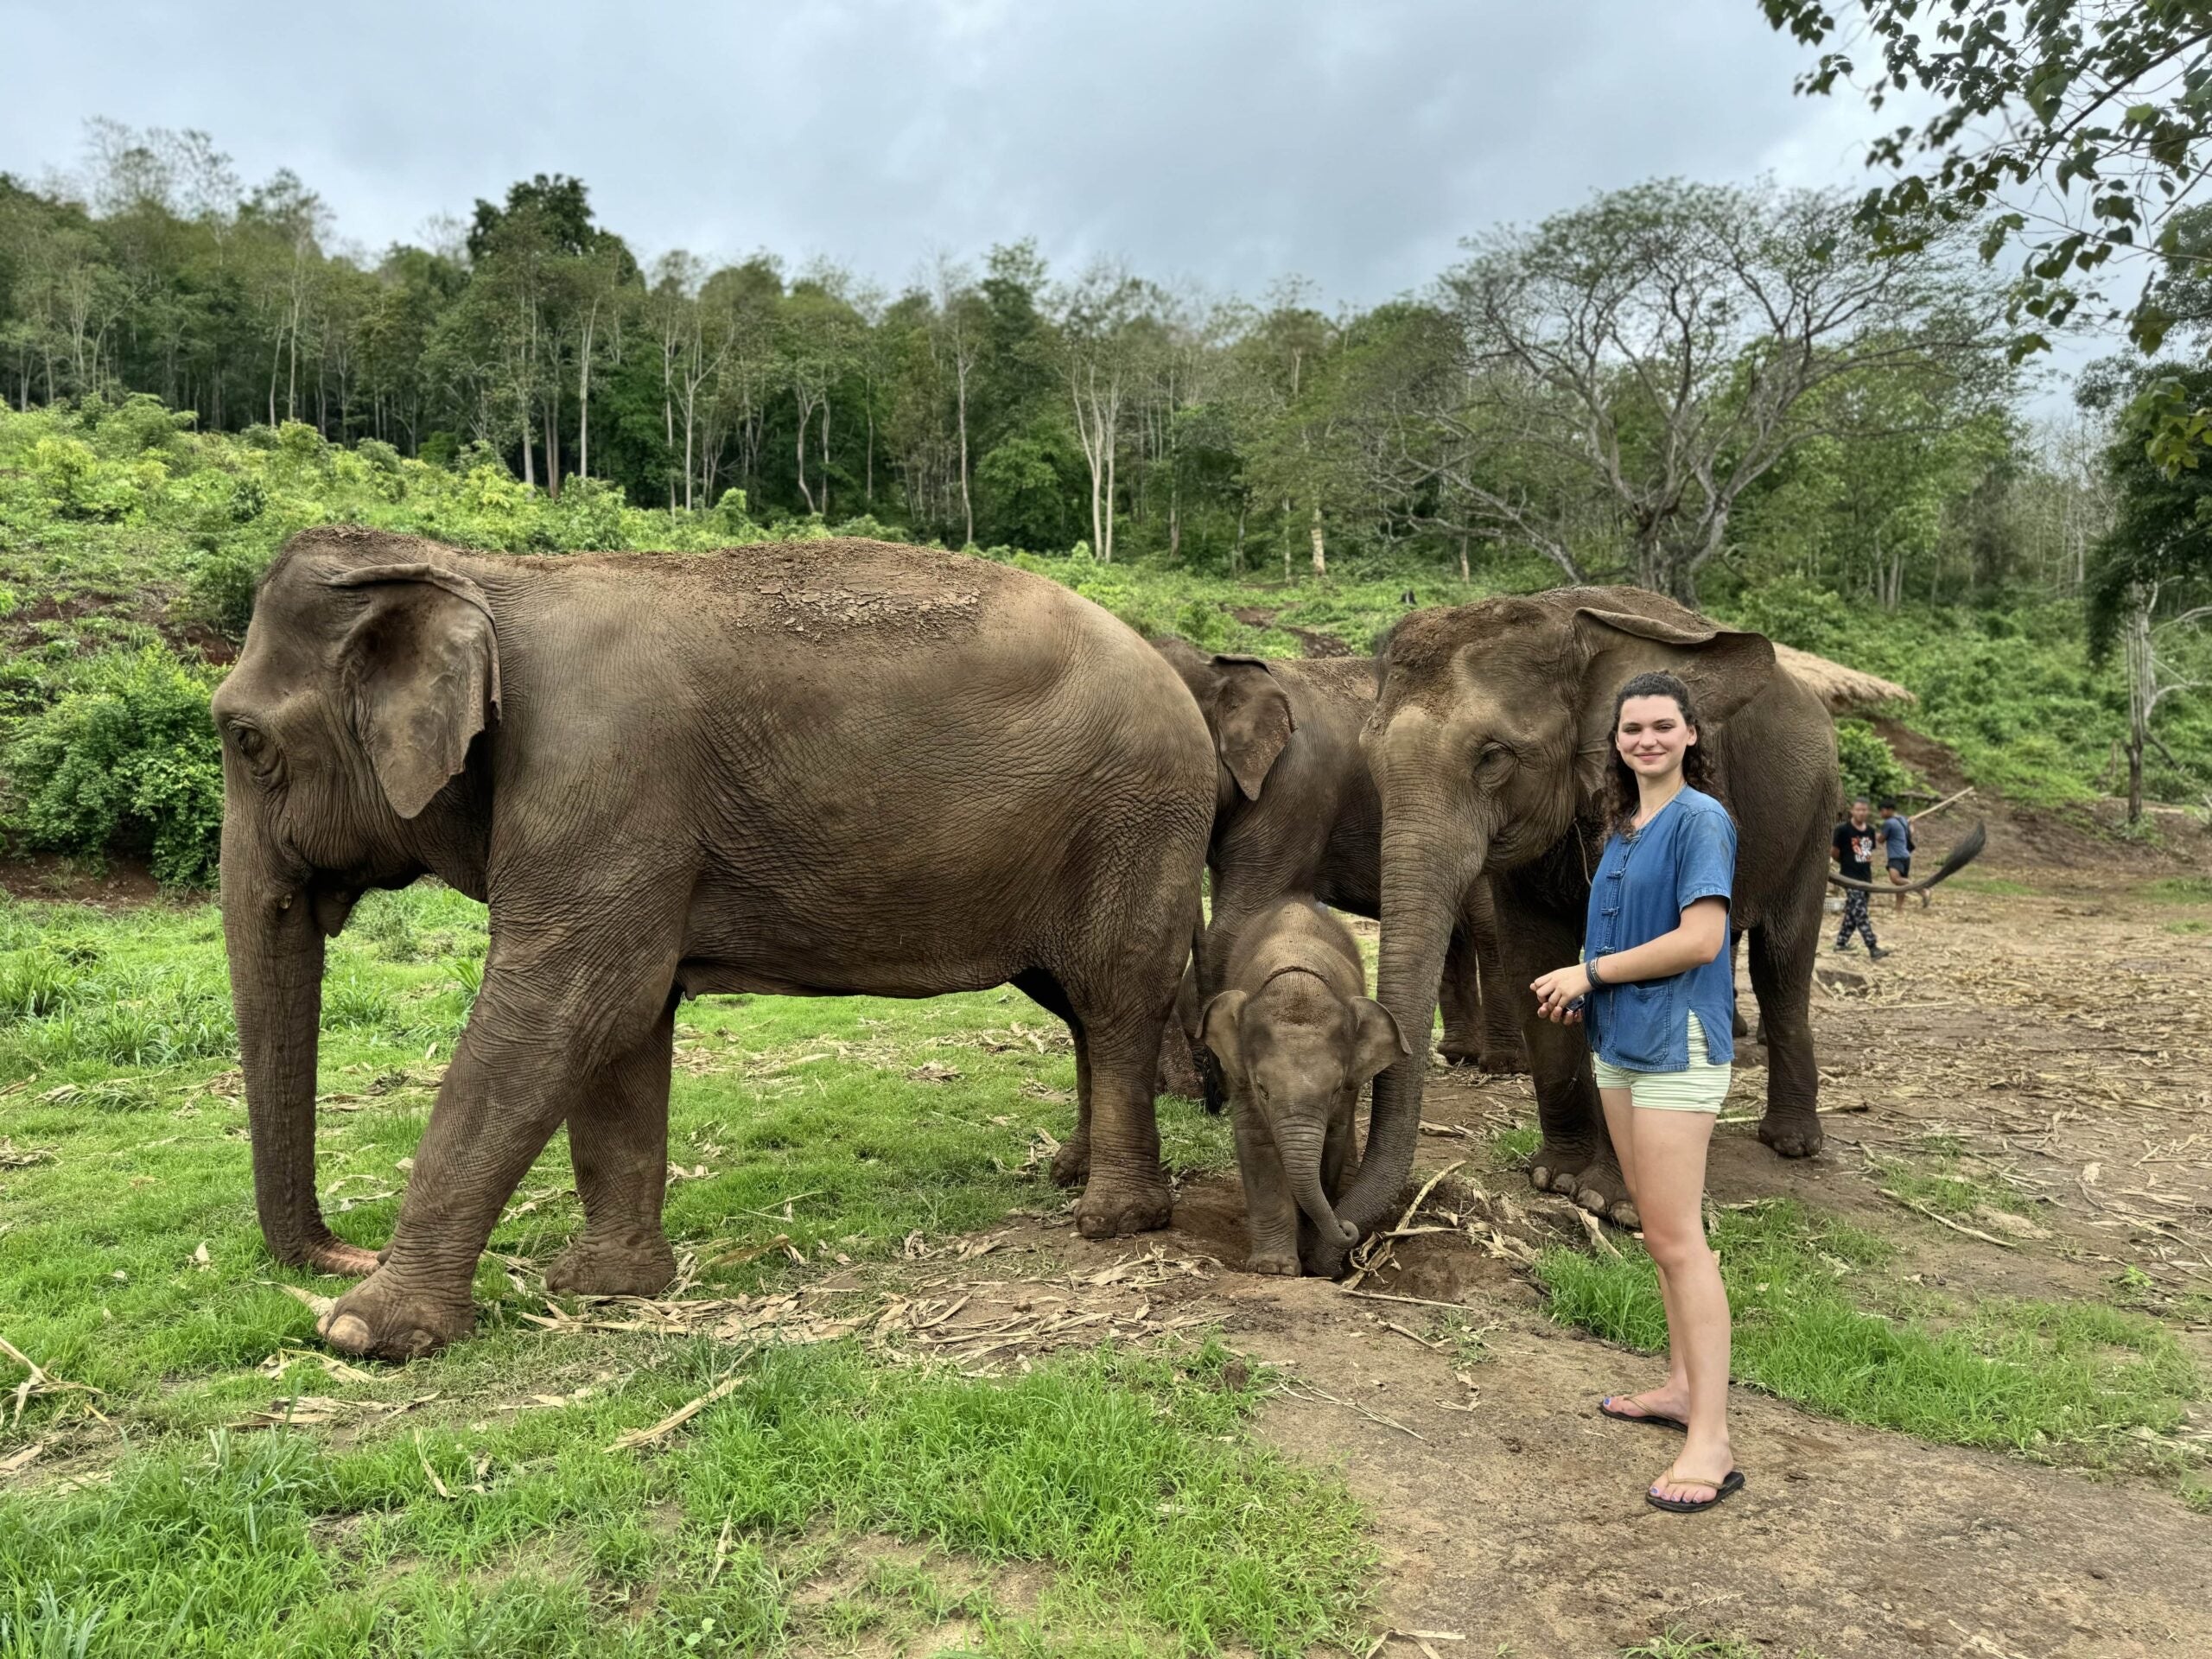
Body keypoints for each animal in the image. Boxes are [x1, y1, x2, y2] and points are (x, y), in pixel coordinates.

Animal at [214, 527, 1214, 1360]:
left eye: (247, 740)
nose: (343, 1251)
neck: (482, 574)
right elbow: (622, 1027)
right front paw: (605, 1288)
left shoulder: (603, 777)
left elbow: (570, 1003)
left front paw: (362, 1332)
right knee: (1076, 1002)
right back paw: (1070, 1173)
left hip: (1137, 816)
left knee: (1115, 997)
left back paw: (1113, 1220)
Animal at [1151, 640, 1523, 1092]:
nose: (1192, 1088)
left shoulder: (1296, 789)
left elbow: (1241, 917)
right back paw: (1459, 1054)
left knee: (1486, 924)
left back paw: (1502, 1064)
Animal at [1199, 897, 1405, 1276]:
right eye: (1262, 1088)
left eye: (1336, 1089)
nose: (1348, 1229)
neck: (1299, 982)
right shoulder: (1240, 1079)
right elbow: (1257, 1144)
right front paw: (1274, 1268)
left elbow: (1332, 1141)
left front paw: (1309, 1251)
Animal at [1330, 586, 1852, 1251]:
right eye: (1370, 758)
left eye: (1493, 757)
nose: (1343, 1229)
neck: (1567, 622)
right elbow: (1531, 957)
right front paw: (1555, 1178)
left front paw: (1612, 1203)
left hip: (1816, 818)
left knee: (1782, 961)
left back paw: (1790, 1143)